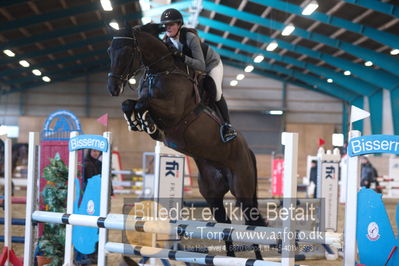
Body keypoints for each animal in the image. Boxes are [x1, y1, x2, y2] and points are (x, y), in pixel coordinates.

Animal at [108, 25, 268, 260]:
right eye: (110, 51)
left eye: (127, 52)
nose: (113, 88)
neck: (161, 71)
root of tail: (248, 151)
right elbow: (129, 104)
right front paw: (137, 122)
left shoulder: (173, 112)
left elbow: (141, 104)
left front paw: (145, 121)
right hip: (211, 191)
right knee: (225, 223)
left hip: (242, 186)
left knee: (251, 221)